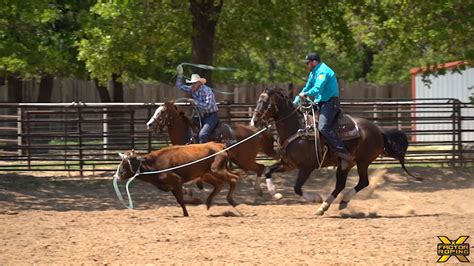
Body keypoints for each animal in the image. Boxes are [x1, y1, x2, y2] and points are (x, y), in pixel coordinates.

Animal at [146, 101, 280, 196]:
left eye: (162, 112)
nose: (149, 124)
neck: (187, 133)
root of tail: (256, 131)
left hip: (244, 160)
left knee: (260, 167)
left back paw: (260, 190)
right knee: (259, 168)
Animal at [250, 88, 420, 216]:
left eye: (265, 103)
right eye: (258, 101)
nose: (254, 121)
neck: (298, 129)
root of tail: (379, 131)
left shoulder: (306, 167)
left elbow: (297, 188)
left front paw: (315, 198)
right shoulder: (288, 164)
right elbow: (268, 171)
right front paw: (275, 193)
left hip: (362, 162)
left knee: (363, 182)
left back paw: (338, 202)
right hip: (345, 165)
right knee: (341, 185)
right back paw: (324, 207)